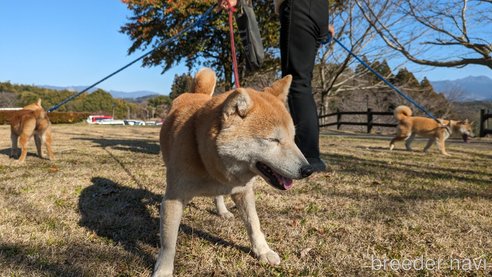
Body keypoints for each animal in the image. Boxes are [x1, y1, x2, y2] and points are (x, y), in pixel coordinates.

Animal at [155, 68, 312, 274]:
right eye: (273, 140)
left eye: (293, 138)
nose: (308, 170)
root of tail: (196, 94)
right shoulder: (174, 199)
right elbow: (168, 242)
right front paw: (164, 270)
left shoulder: (243, 191)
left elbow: (254, 223)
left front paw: (263, 251)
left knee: (218, 195)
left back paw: (222, 210)